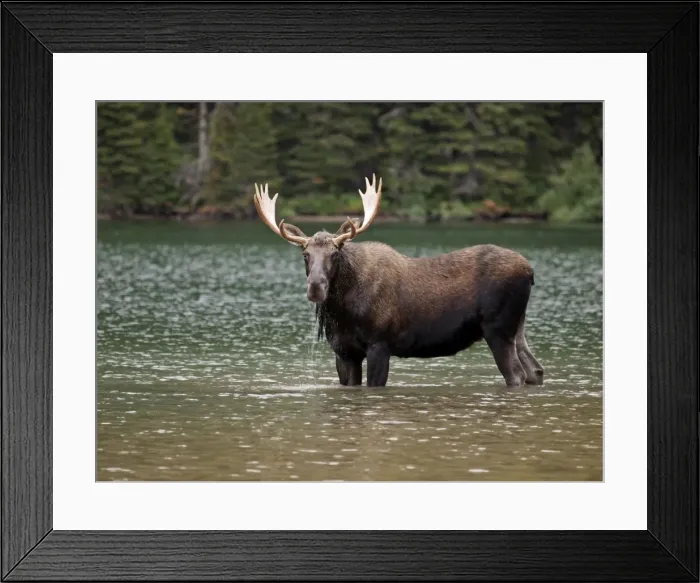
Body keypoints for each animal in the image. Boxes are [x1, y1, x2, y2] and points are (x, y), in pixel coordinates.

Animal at [253, 175, 544, 388]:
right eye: (305, 254)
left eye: (335, 253)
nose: (316, 287)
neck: (343, 311)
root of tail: (530, 271)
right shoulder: (344, 352)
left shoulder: (380, 344)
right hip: (517, 327)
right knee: (535, 370)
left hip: (498, 328)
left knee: (517, 374)